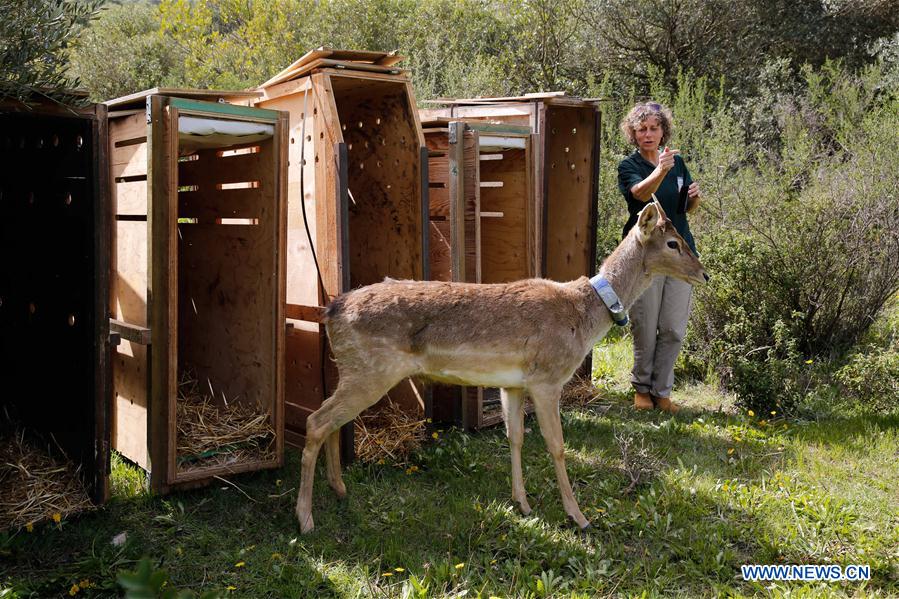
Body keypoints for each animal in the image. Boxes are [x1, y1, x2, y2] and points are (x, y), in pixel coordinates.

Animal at [298, 202, 708, 536]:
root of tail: (330, 311)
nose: (703, 275)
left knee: (330, 420)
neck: (585, 318)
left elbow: (515, 437)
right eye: (673, 242)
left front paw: (522, 503)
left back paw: (339, 489)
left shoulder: (512, 383)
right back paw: (305, 519)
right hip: (371, 370)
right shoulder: (547, 377)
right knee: (316, 421)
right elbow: (556, 445)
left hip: (354, 370)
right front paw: (578, 516)